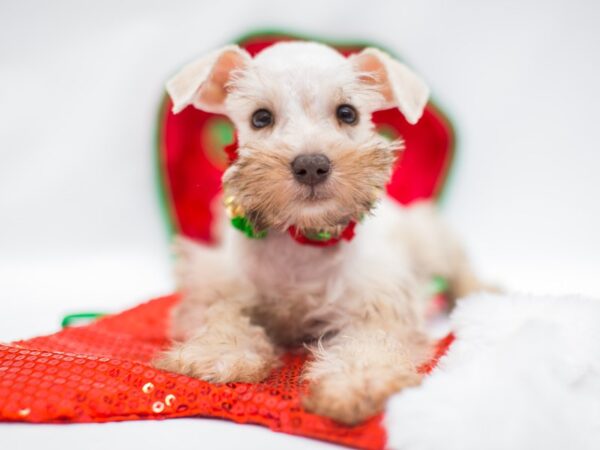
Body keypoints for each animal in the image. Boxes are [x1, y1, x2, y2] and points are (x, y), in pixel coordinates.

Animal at [155, 40, 482, 424]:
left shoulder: (378, 302)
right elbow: (221, 313)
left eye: (348, 113)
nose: (311, 165)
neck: (303, 240)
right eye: (260, 117)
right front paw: (217, 351)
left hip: (428, 237)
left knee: (459, 267)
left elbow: (369, 341)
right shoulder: (215, 282)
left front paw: (358, 382)